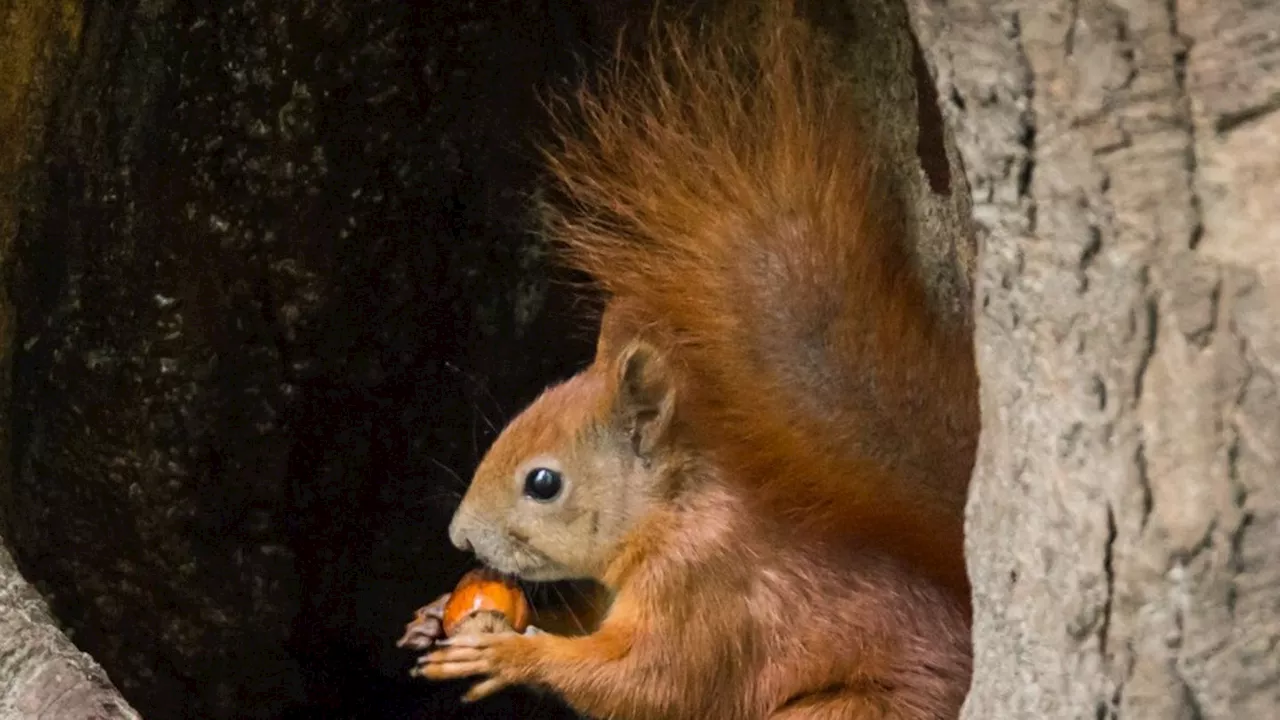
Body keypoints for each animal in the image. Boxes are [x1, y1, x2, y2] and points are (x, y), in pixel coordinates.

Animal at [414, 2, 972, 712]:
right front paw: (435, 613)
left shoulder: (702, 587)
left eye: (543, 483)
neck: (671, 513)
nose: (459, 536)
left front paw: (511, 653)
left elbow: (649, 683)